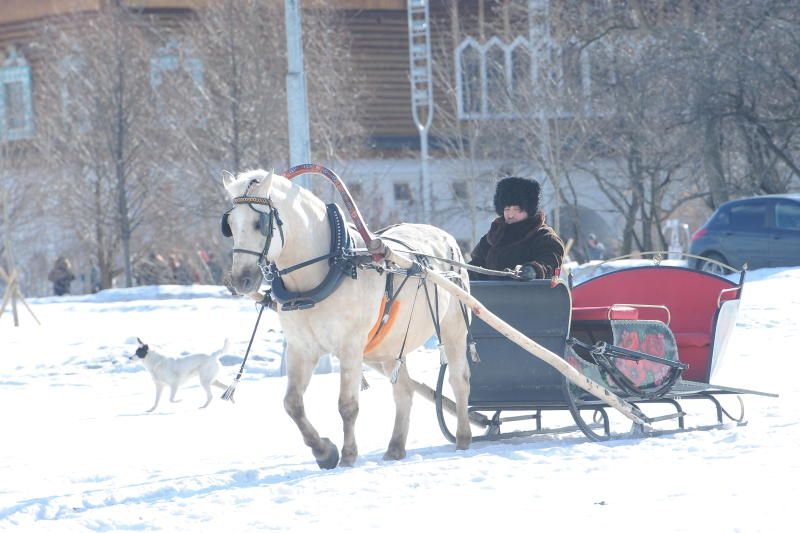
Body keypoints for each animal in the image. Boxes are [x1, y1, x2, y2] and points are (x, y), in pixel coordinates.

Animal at [222, 168, 472, 468]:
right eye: (229, 224)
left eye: (259, 223)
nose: (241, 280)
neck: (331, 265)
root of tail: (447, 238)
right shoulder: (300, 349)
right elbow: (292, 404)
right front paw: (324, 451)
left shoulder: (350, 346)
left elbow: (347, 405)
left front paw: (348, 455)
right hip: (391, 345)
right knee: (404, 392)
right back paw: (395, 448)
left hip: (454, 327)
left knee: (459, 380)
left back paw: (463, 438)